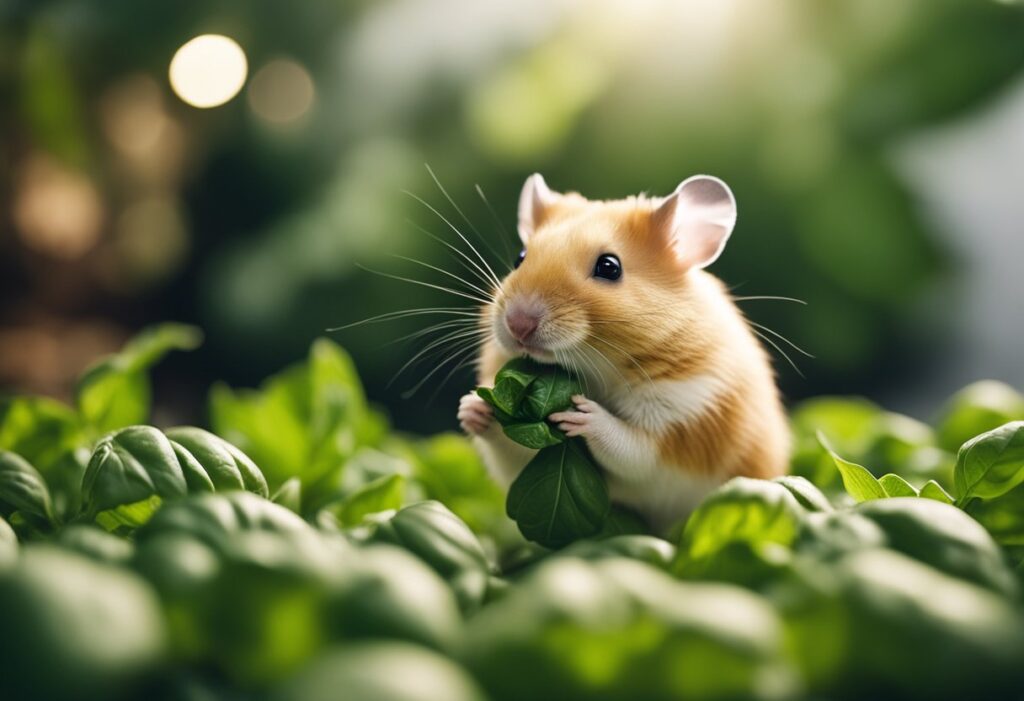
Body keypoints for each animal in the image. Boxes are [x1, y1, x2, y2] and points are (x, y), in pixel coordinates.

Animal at [458, 173, 790, 533]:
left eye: (609, 267)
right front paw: (472, 406)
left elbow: (633, 448)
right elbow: (511, 446)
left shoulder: (683, 419)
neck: (600, 368)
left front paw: (581, 415)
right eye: (520, 257)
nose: (517, 325)